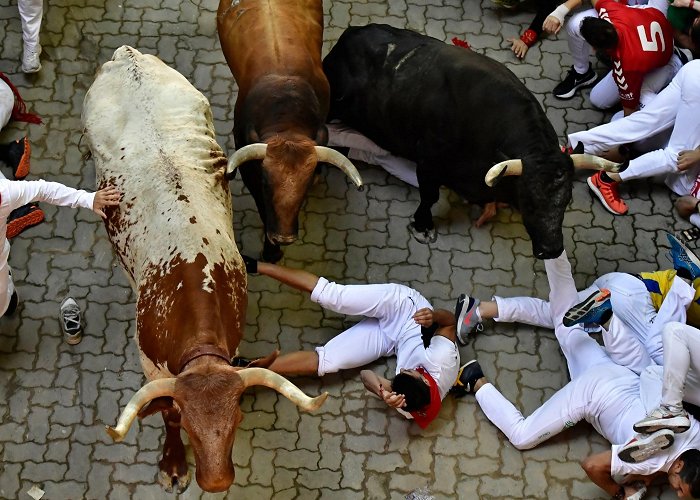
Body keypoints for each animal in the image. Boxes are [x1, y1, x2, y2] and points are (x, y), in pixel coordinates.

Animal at [81, 46, 328, 492]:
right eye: (189, 424)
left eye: (239, 417)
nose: (216, 482)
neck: (191, 280)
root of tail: (128, 56)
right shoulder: (150, 366)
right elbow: (165, 410)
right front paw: (173, 462)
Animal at [322, 23, 576, 260]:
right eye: (528, 201)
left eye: (566, 201)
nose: (552, 249)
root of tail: (352, 32)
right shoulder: (428, 161)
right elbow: (429, 196)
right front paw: (423, 226)